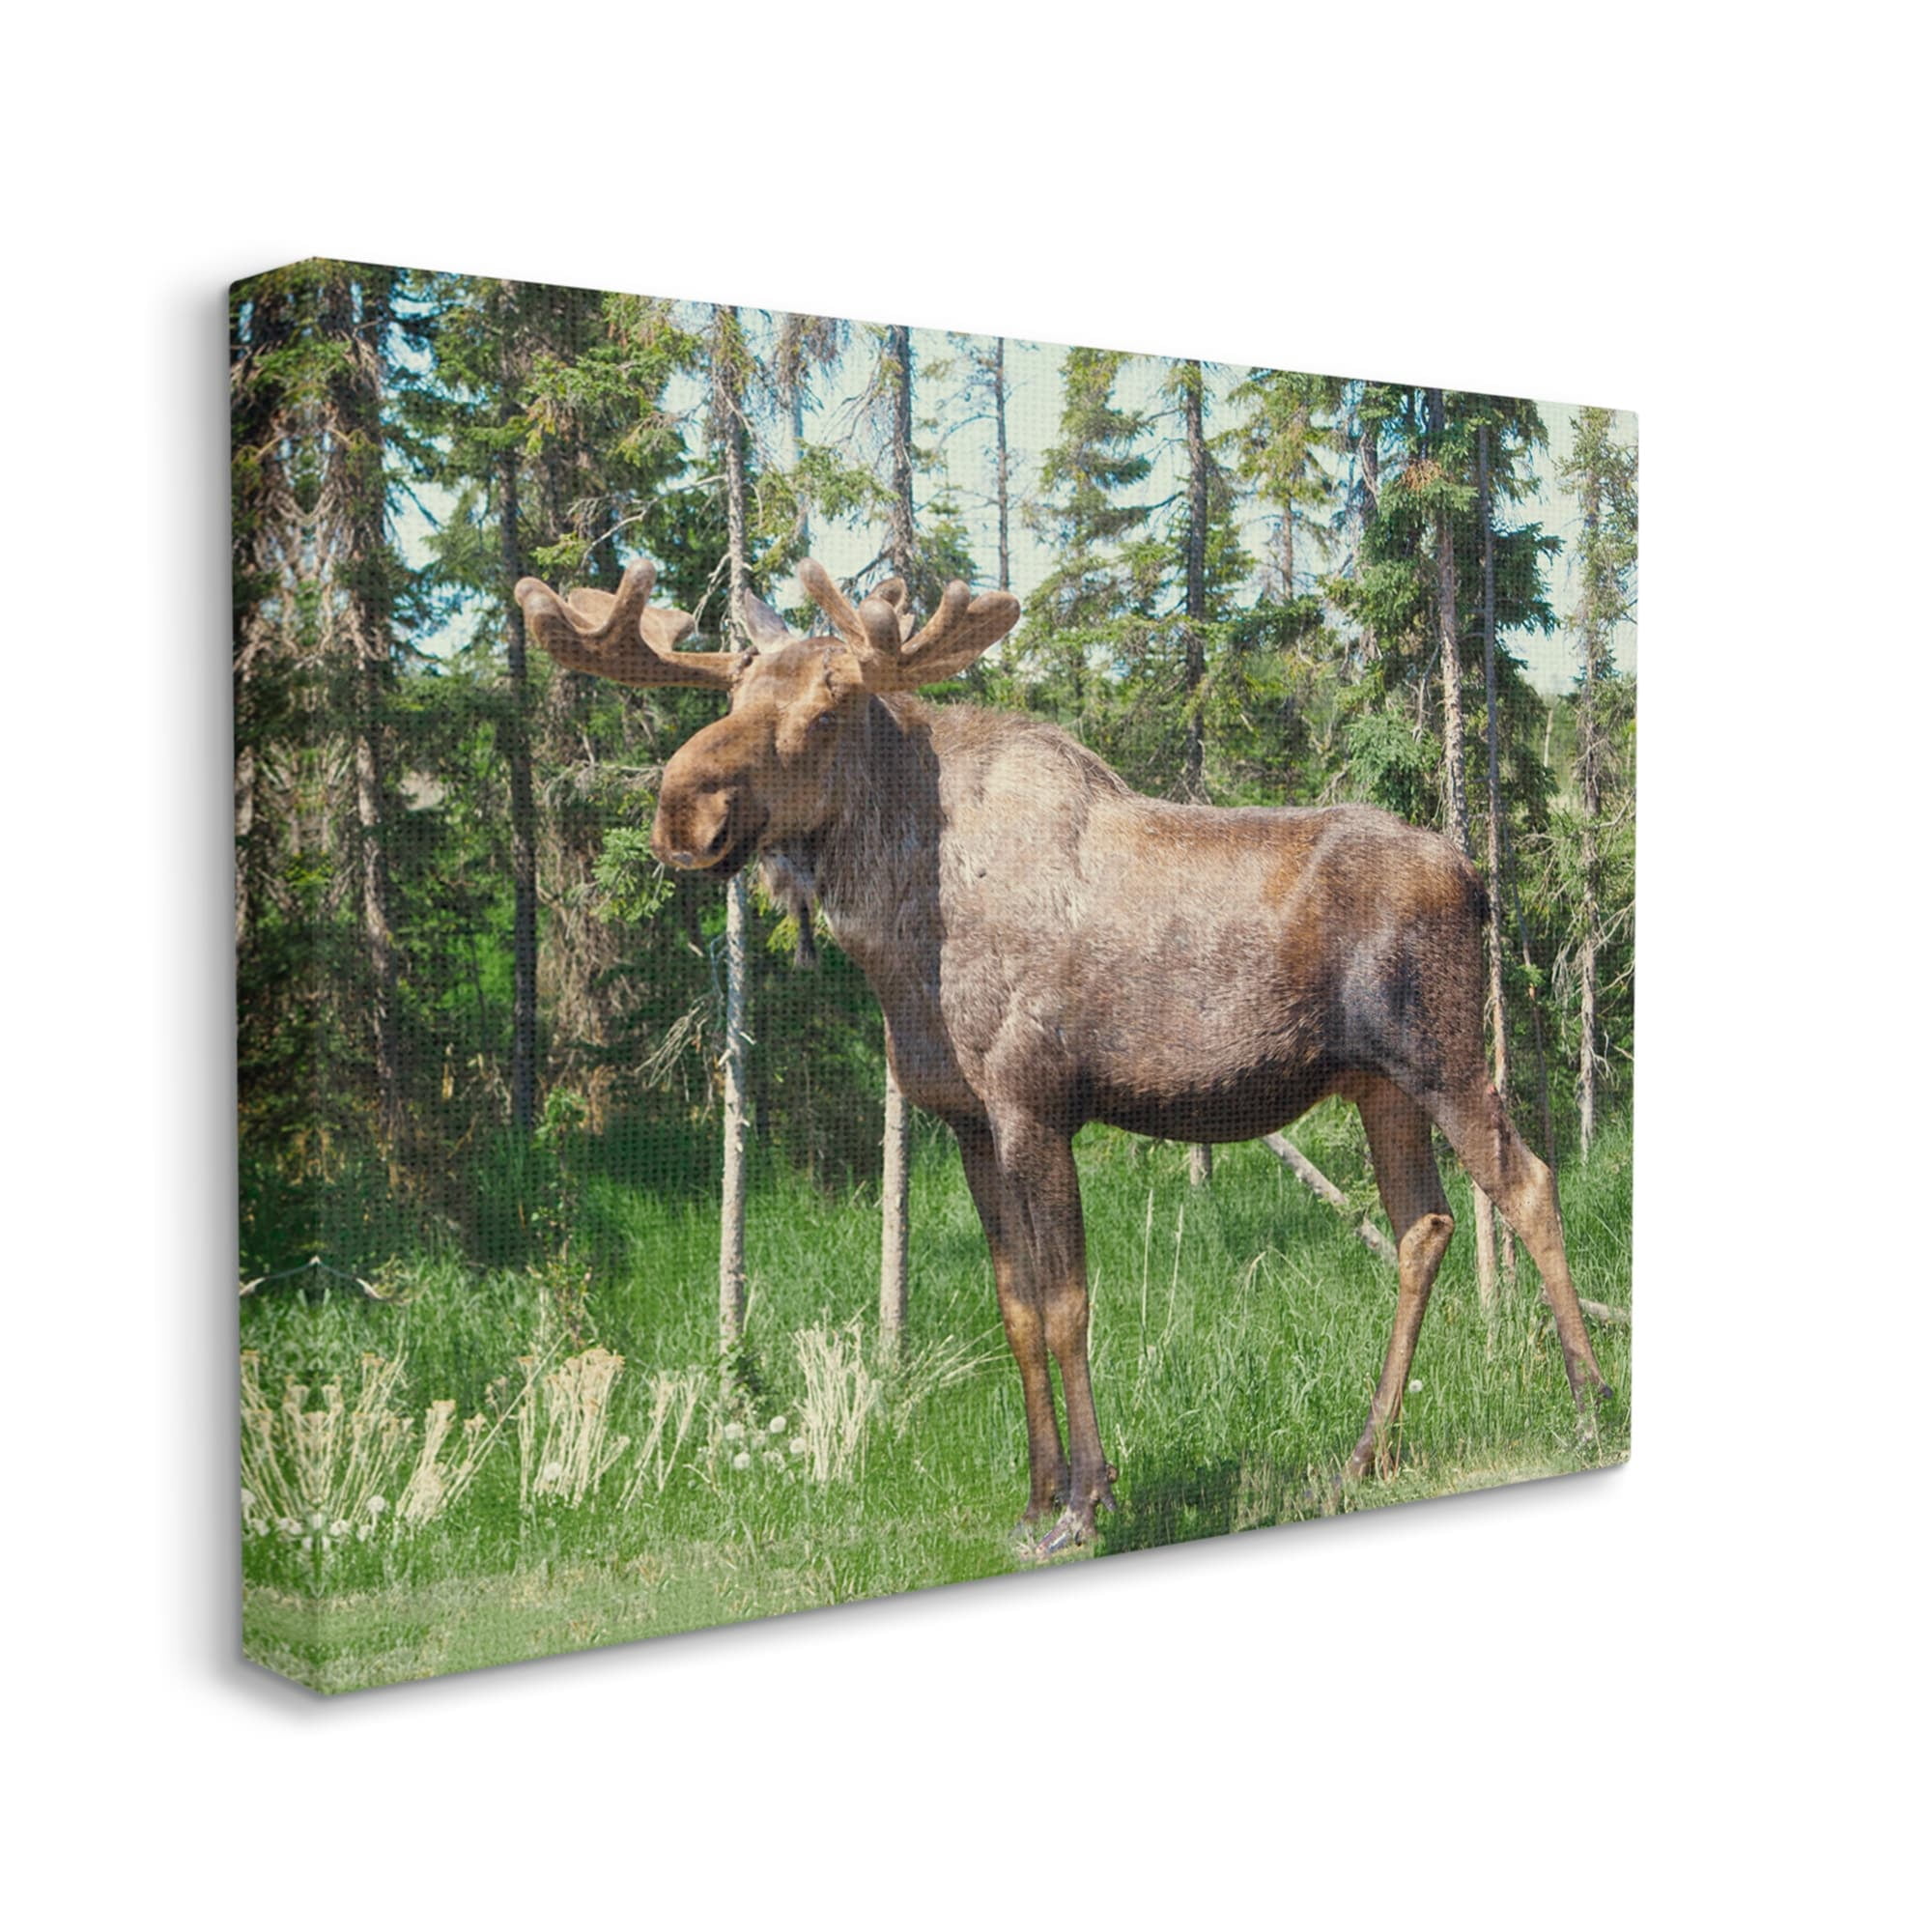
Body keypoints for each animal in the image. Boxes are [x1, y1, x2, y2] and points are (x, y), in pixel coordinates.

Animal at [514, 556, 1615, 1556]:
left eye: (831, 700)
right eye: (734, 689)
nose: (682, 808)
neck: (900, 946)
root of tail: (1475, 879)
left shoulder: (1033, 1105)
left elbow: (1064, 1305)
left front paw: (1086, 1504)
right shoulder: (964, 1122)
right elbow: (1012, 1310)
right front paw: (1036, 1495)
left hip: (1442, 1054)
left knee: (1528, 1183)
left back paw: (1588, 1400)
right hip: (1375, 1086)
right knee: (1425, 1223)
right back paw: (1365, 1450)